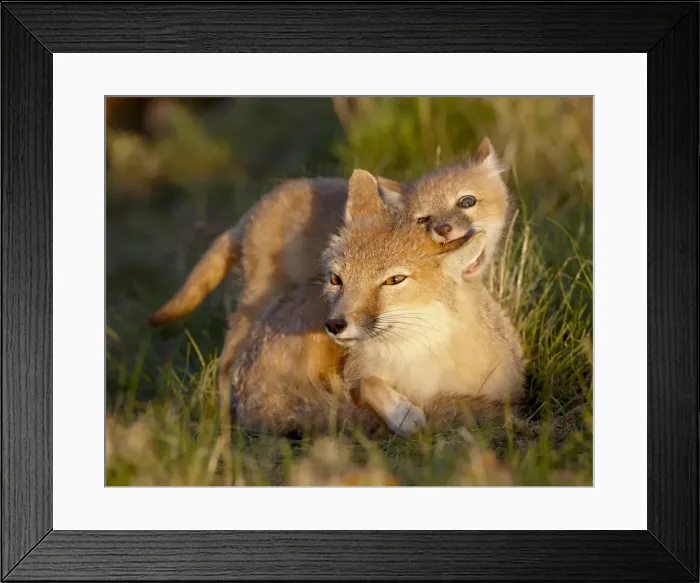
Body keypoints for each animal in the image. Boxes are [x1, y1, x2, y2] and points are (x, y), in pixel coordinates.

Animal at [229, 169, 524, 437]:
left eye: (394, 280)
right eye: (336, 279)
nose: (334, 325)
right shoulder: (357, 375)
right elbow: (366, 384)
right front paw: (402, 413)